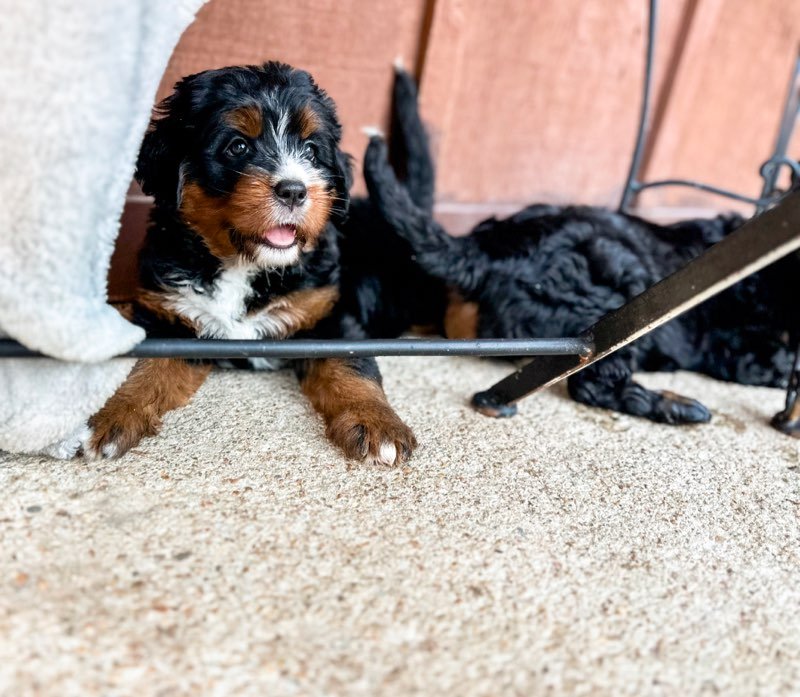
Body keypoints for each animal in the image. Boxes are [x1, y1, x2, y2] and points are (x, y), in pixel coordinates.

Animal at [86, 61, 432, 462]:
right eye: (238, 146)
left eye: (311, 150)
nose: (294, 190)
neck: (244, 265)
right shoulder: (168, 315)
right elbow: (143, 367)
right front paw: (112, 416)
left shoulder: (330, 313)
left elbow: (353, 364)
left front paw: (378, 423)